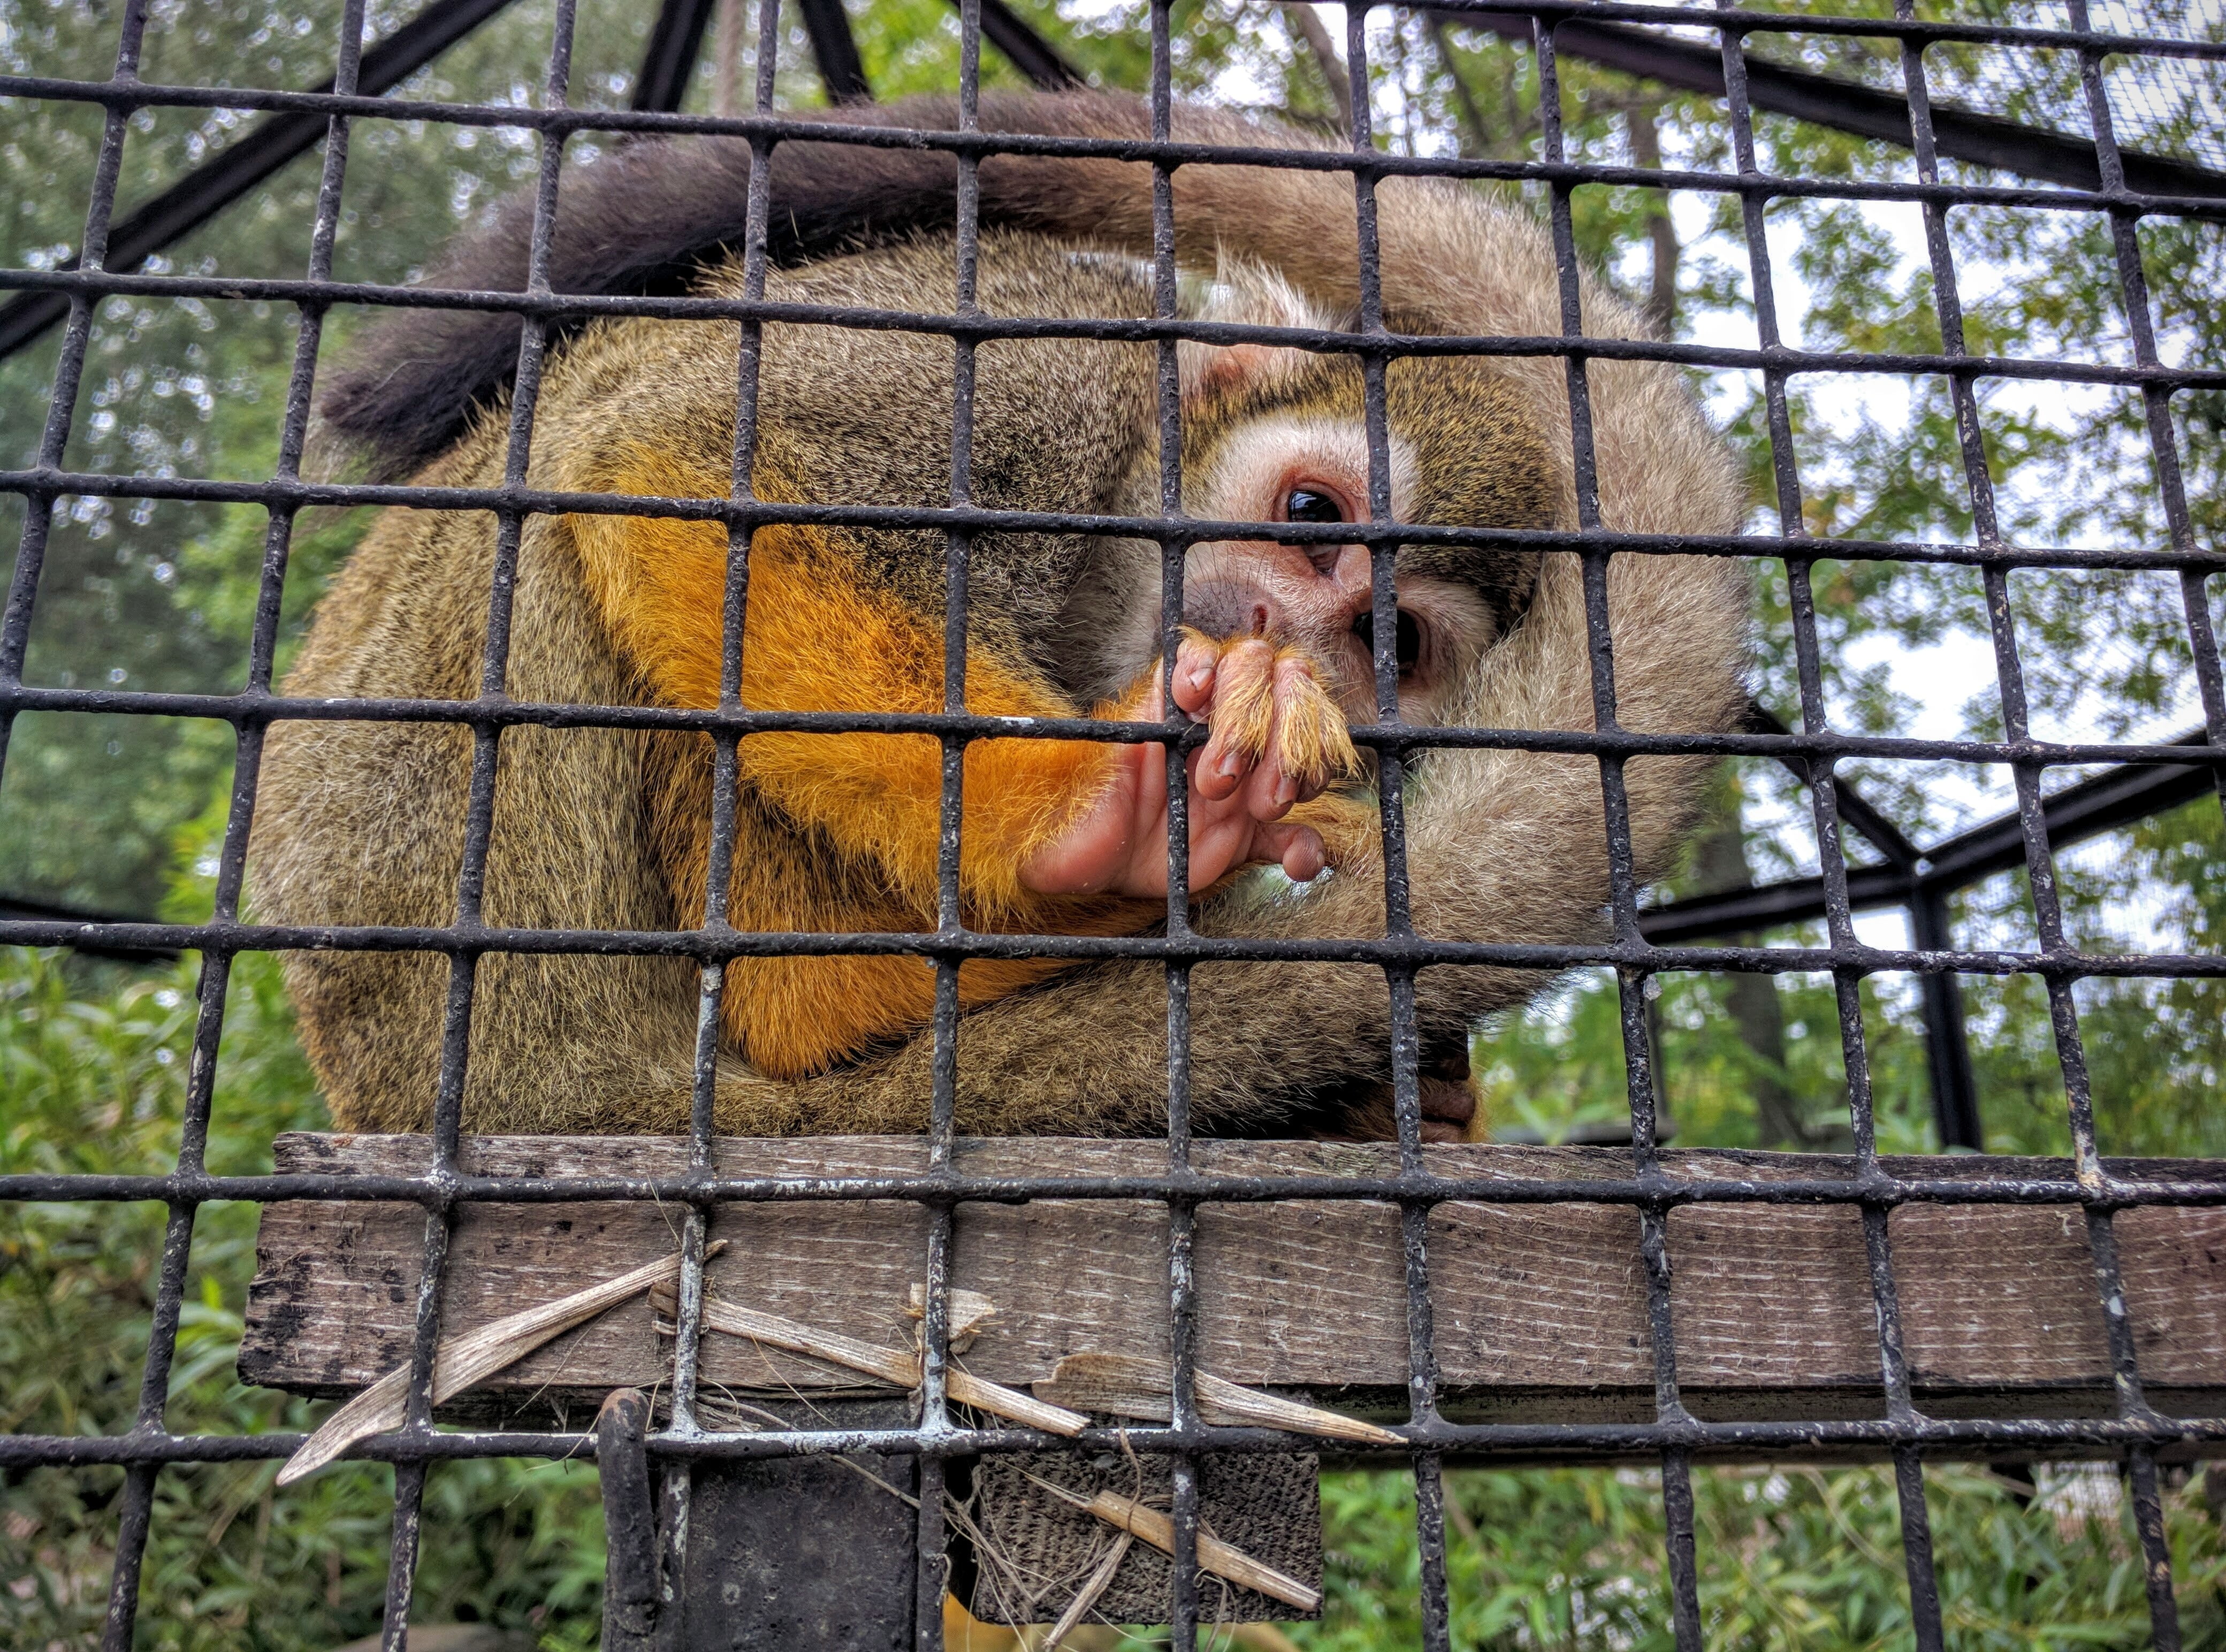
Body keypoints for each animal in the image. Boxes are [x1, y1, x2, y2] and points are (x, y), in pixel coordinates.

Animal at [248, 90, 1749, 1142]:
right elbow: (695, 457)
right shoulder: (1044, 375)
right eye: (1311, 517)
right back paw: (827, 1001)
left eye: (1390, 645)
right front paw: (1086, 828)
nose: (1278, 625)